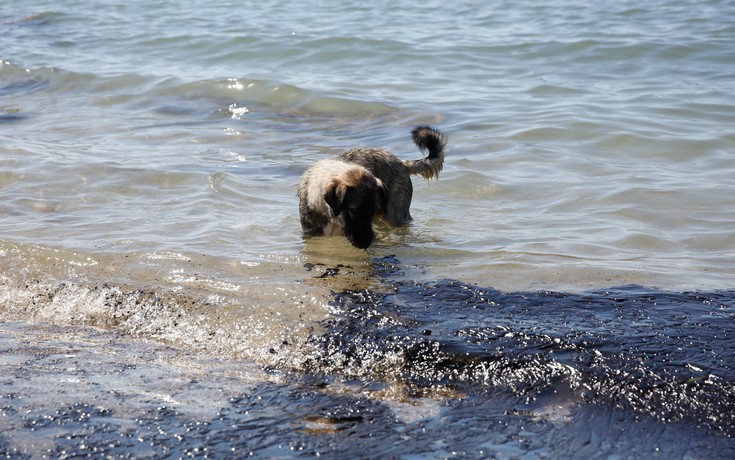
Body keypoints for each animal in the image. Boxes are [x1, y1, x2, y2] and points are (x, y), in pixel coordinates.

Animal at [300, 125, 448, 248]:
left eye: (372, 209)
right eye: (354, 210)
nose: (366, 243)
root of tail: (401, 162)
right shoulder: (311, 234)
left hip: (395, 216)